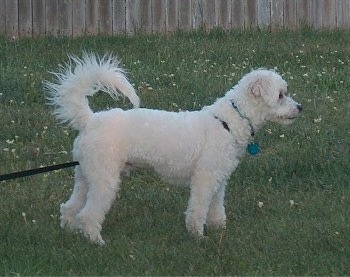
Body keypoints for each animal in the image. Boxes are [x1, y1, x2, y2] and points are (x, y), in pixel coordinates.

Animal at [44, 52, 300, 244]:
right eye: (280, 95)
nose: (300, 107)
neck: (229, 121)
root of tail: (89, 120)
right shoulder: (205, 179)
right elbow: (198, 210)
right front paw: (198, 237)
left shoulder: (219, 179)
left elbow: (216, 208)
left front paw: (219, 229)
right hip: (104, 179)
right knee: (88, 214)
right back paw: (95, 241)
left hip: (86, 175)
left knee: (69, 208)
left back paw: (69, 233)